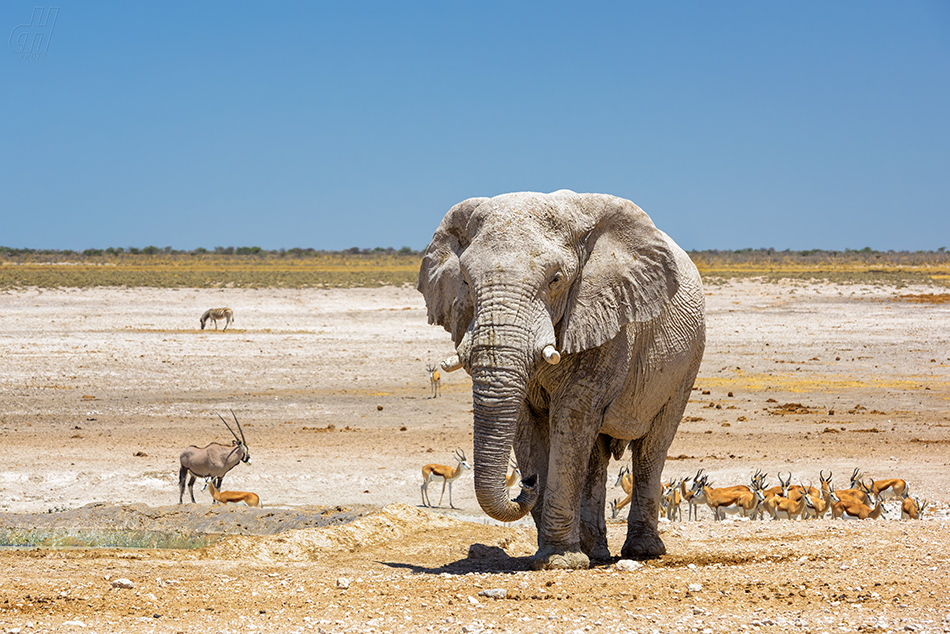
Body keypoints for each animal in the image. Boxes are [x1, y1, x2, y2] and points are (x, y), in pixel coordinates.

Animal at [418, 189, 708, 568]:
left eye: (555, 280)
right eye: (465, 281)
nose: (527, 481)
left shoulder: (608, 320)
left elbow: (571, 417)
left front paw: (559, 561)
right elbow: (527, 422)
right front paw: (553, 555)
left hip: (687, 363)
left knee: (652, 446)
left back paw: (643, 551)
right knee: (596, 456)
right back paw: (596, 552)